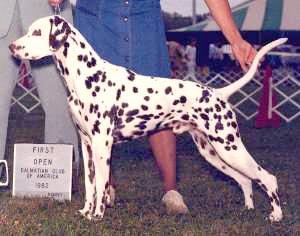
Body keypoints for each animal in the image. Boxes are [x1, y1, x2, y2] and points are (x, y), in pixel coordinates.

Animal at [9, 15, 286, 222]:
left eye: (36, 32)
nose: (12, 46)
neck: (86, 76)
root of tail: (218, 93)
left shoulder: (102, 145)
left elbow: (101, 185)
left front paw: (97, 215)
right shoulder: (86, 144)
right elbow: (90, 186)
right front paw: (86, 212)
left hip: (229, 147)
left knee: (267, 178)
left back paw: (276, 216)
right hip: (213, 152)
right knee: (246, 180)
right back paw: (248, 209)